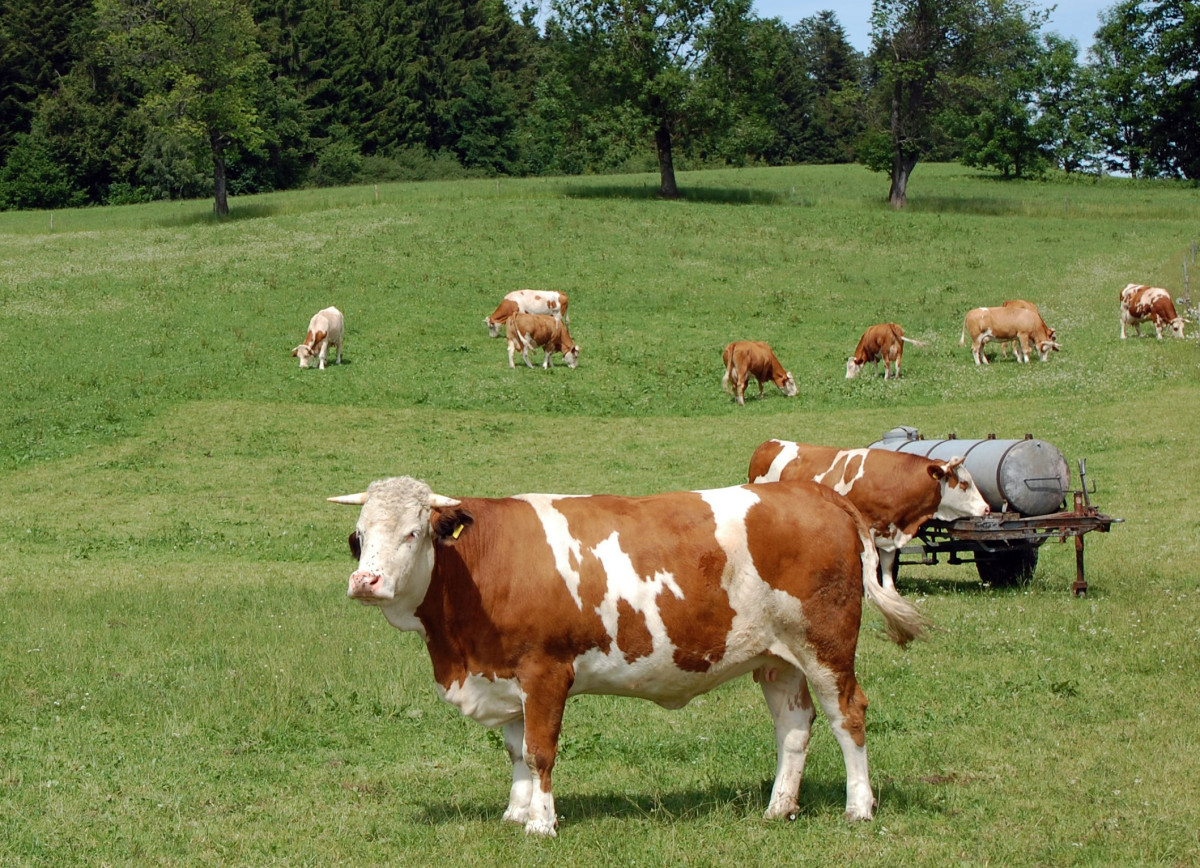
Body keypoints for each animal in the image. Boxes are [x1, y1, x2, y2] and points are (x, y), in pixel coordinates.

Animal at [333, 475, 931, 835]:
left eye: (413, 533)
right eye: (358, 536)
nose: (365, 582)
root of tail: (814, 491)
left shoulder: (545, 671)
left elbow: (540, 752)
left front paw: (541, 824)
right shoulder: (504, 676)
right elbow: (515, 750)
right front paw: (516, 813)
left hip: (826, 646)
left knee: (847, 715)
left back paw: (859, 808)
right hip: (776, 658)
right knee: (794, 727)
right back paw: (778, 806)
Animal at [744, 441, 988, 590]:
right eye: (964, 483)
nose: (986, 508)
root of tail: (769, 444)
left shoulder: (889, 532)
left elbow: (887, 566)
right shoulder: (867, 529)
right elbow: (872, 561)